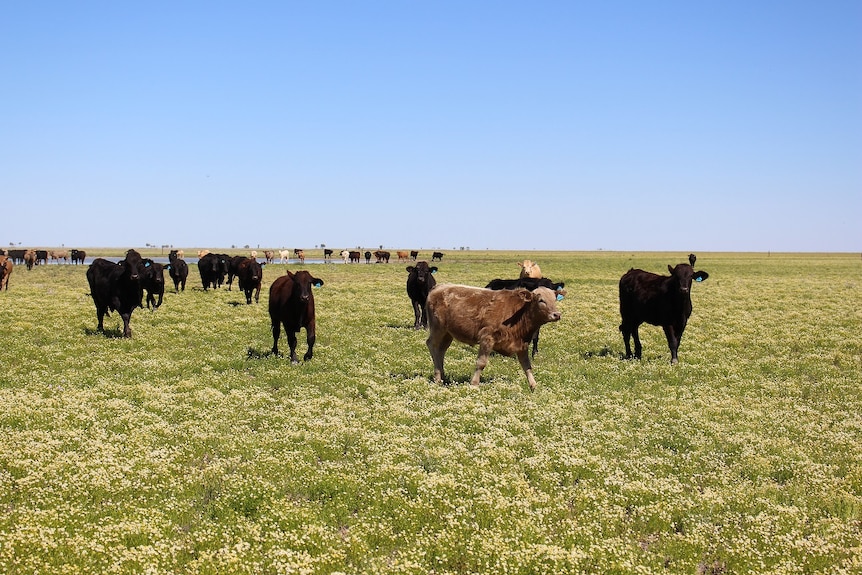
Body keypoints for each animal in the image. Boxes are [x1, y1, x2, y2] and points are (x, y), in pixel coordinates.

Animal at [426, 284, 564, 392]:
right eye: (541, 300)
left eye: (554, 299)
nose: (556, 314)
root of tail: (439, 287)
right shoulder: (487, 337)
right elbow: (481, 363)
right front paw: (474, 384)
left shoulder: (521, 345)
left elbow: (527, 366)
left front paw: (534, 386)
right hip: (438, 328)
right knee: (432, 345)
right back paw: (437, 377)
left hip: (447, 333)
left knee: (441, 350)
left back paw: (442, 375)